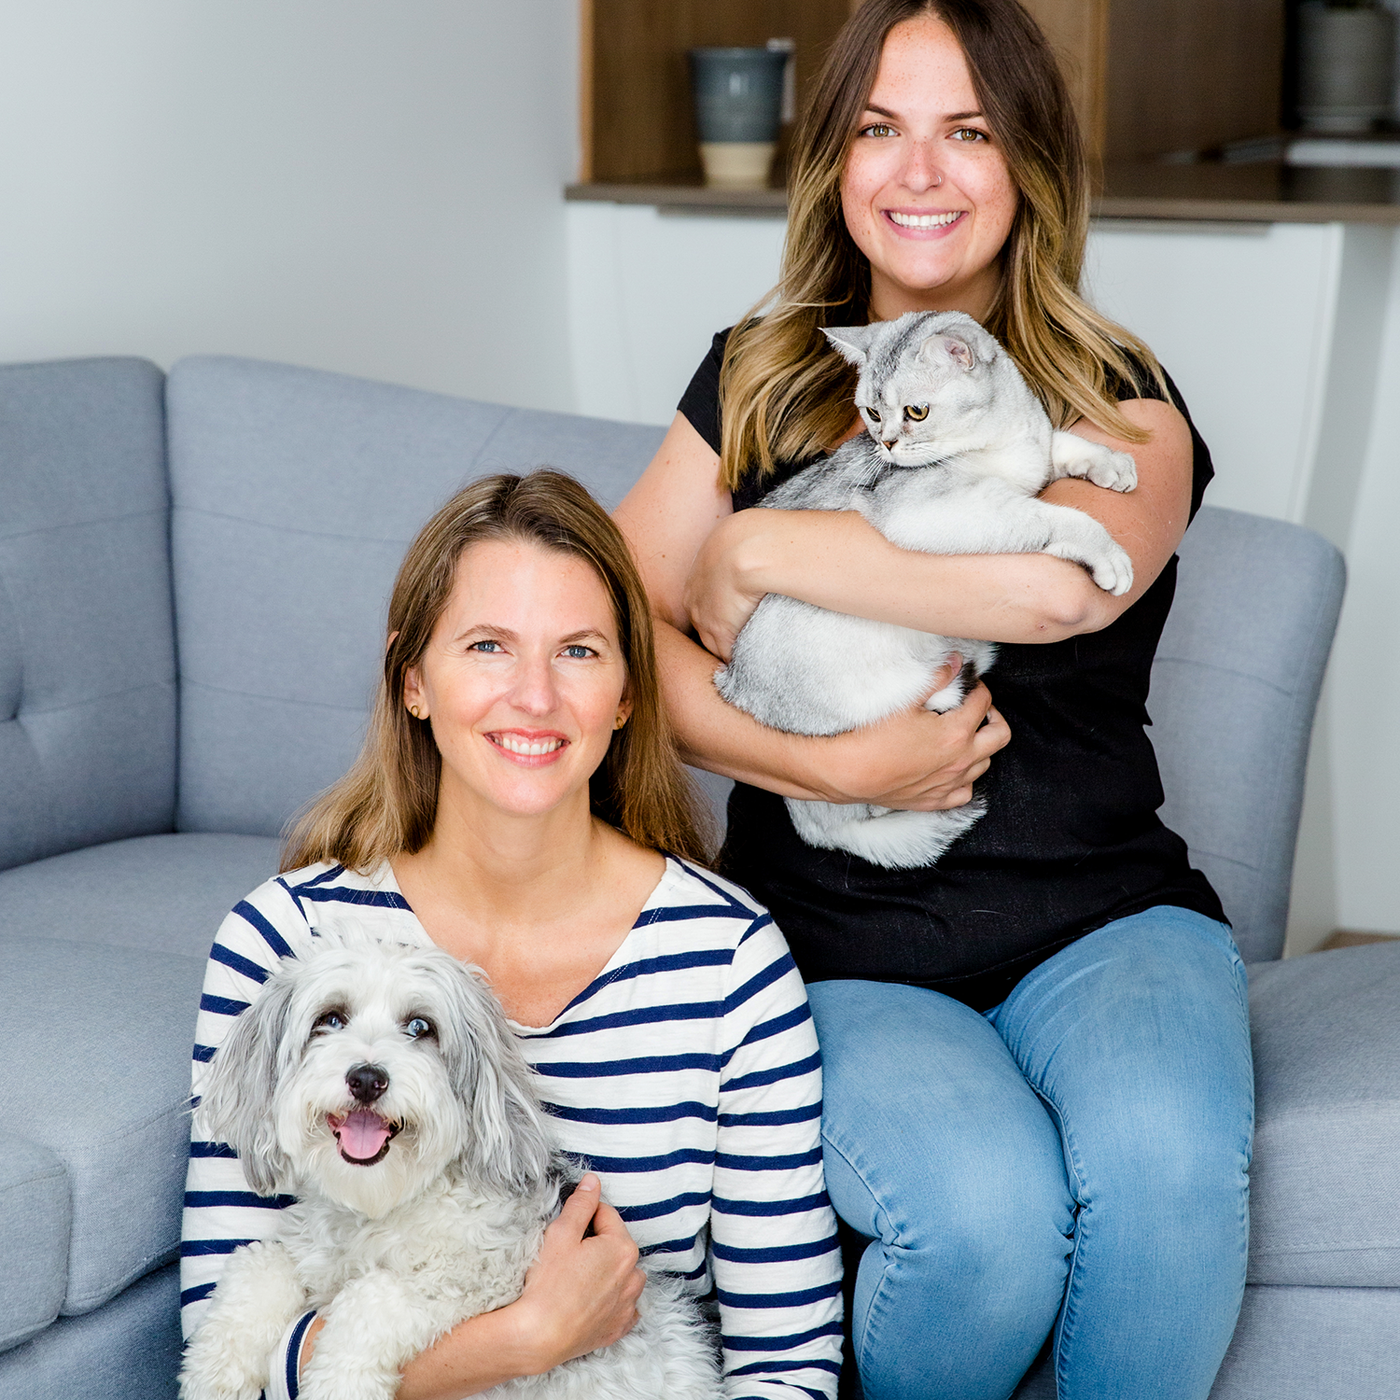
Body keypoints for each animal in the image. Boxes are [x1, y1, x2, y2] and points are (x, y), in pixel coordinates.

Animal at [180, 929, 722, 1400]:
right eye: (330, 1019)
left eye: (421, 1028)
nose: (368, 1078)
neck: (383, 1205)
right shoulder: (311, 1254)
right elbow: (257, 1265)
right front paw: (213, 1372)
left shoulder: (478, 1282)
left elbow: (370, 1298)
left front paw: (340, 1381)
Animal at [711, 312, 1136, 868]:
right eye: (872, 413)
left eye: (916, 411)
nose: (886, 444)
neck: (1000, 440)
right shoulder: (936, 511)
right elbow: (1049, 515)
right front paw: (1106, 551)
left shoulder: (1032, 456)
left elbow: (1057, 444)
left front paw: (1109, 462)